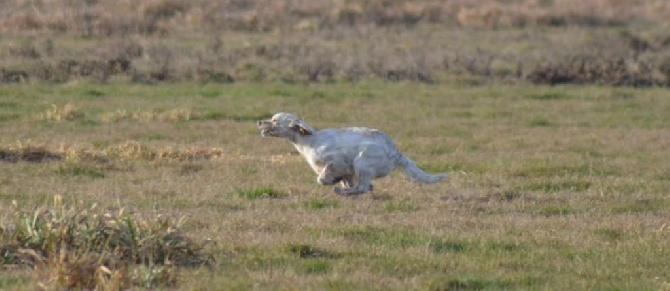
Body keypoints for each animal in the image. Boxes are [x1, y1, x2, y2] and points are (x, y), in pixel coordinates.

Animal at [258, 113, 452, 195]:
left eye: (274, 120)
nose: (259, 121)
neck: (311, 140)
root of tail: (396, 152)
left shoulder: (338, 162)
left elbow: (322, 177)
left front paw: (332, 182)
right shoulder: (346, 172)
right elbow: (345, 180)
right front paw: (340, 184)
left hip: (362, 162)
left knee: (364, 187)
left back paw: (343, 192)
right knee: (364, 187)